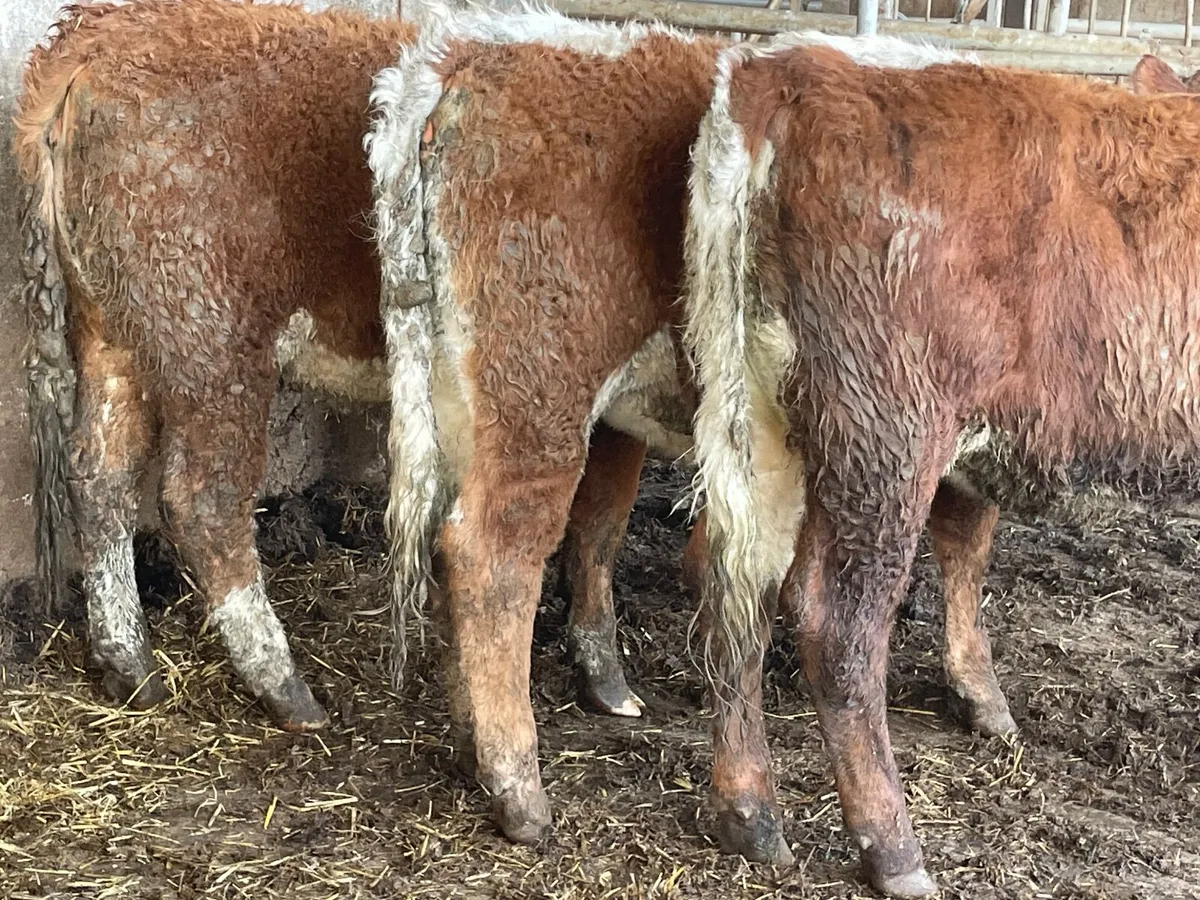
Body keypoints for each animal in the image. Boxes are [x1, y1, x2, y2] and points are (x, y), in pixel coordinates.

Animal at [14, 0, 654, 732]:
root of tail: (94, 37)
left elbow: (596, 522)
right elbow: (603, 520)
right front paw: (608, 679)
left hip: (109, 324)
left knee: (100, 471)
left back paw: (132, 668)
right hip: (213, 333)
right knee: (202, 496)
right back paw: (287, 689)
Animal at [685, 32, 1200, 898]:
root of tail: (796, 67)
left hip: (757, 417)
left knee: (736, 582)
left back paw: (748, 813)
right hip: (888, 429)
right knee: (837, 621)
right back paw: (892, 848)